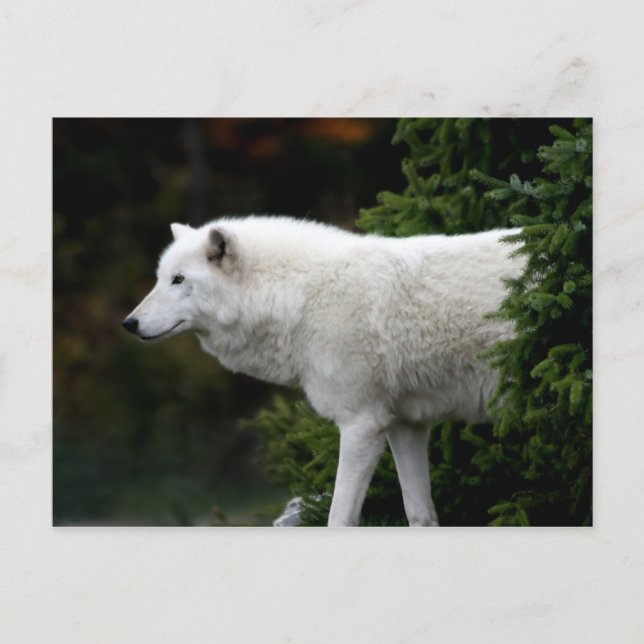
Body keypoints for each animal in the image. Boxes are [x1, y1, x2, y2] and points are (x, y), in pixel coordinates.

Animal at [123, 216, 522, 527]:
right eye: (160, 278)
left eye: (178, 280)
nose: (129, 323)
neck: (300, 297)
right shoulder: (405, 425)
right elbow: (419, 514)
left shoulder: (361, 425)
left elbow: (338, 519)